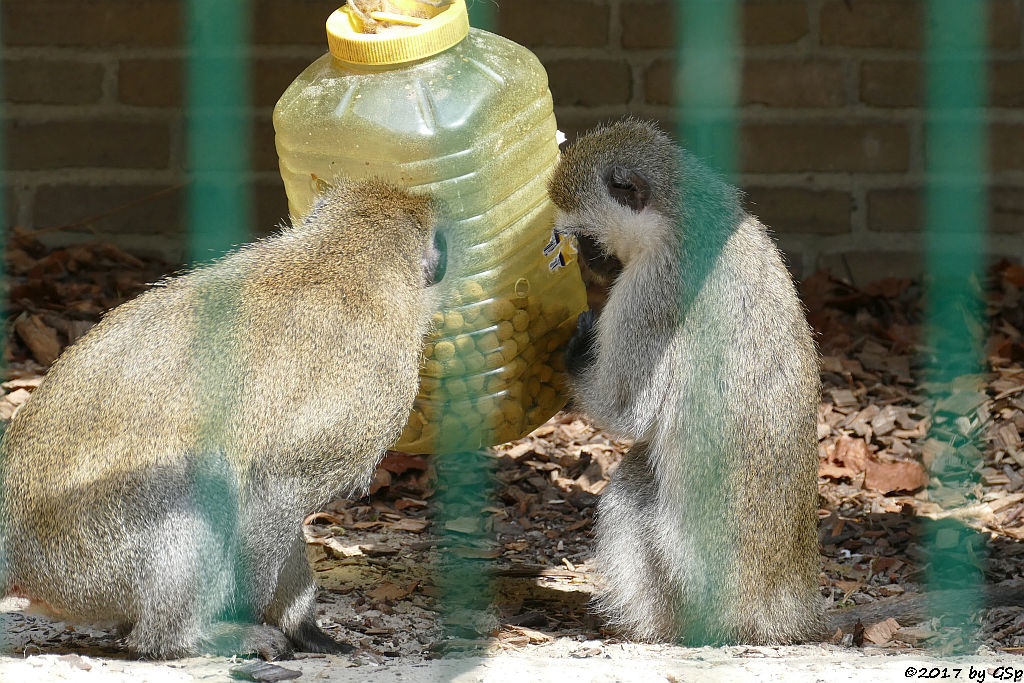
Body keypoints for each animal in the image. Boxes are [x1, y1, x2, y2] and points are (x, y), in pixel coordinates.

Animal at [1, 179, 448, 659]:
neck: (342, 259)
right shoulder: (371, 390)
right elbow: (277, 488)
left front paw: (303, 627)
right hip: (87, 559)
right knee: (205, 480)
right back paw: (179, 637)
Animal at [552, 118, 823, 647]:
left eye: (588, 240)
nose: (592, 265)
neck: (679, 219)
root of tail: (774, 609)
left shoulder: (652, 289)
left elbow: (625, 411)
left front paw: (577, 346)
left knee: (631, 483)